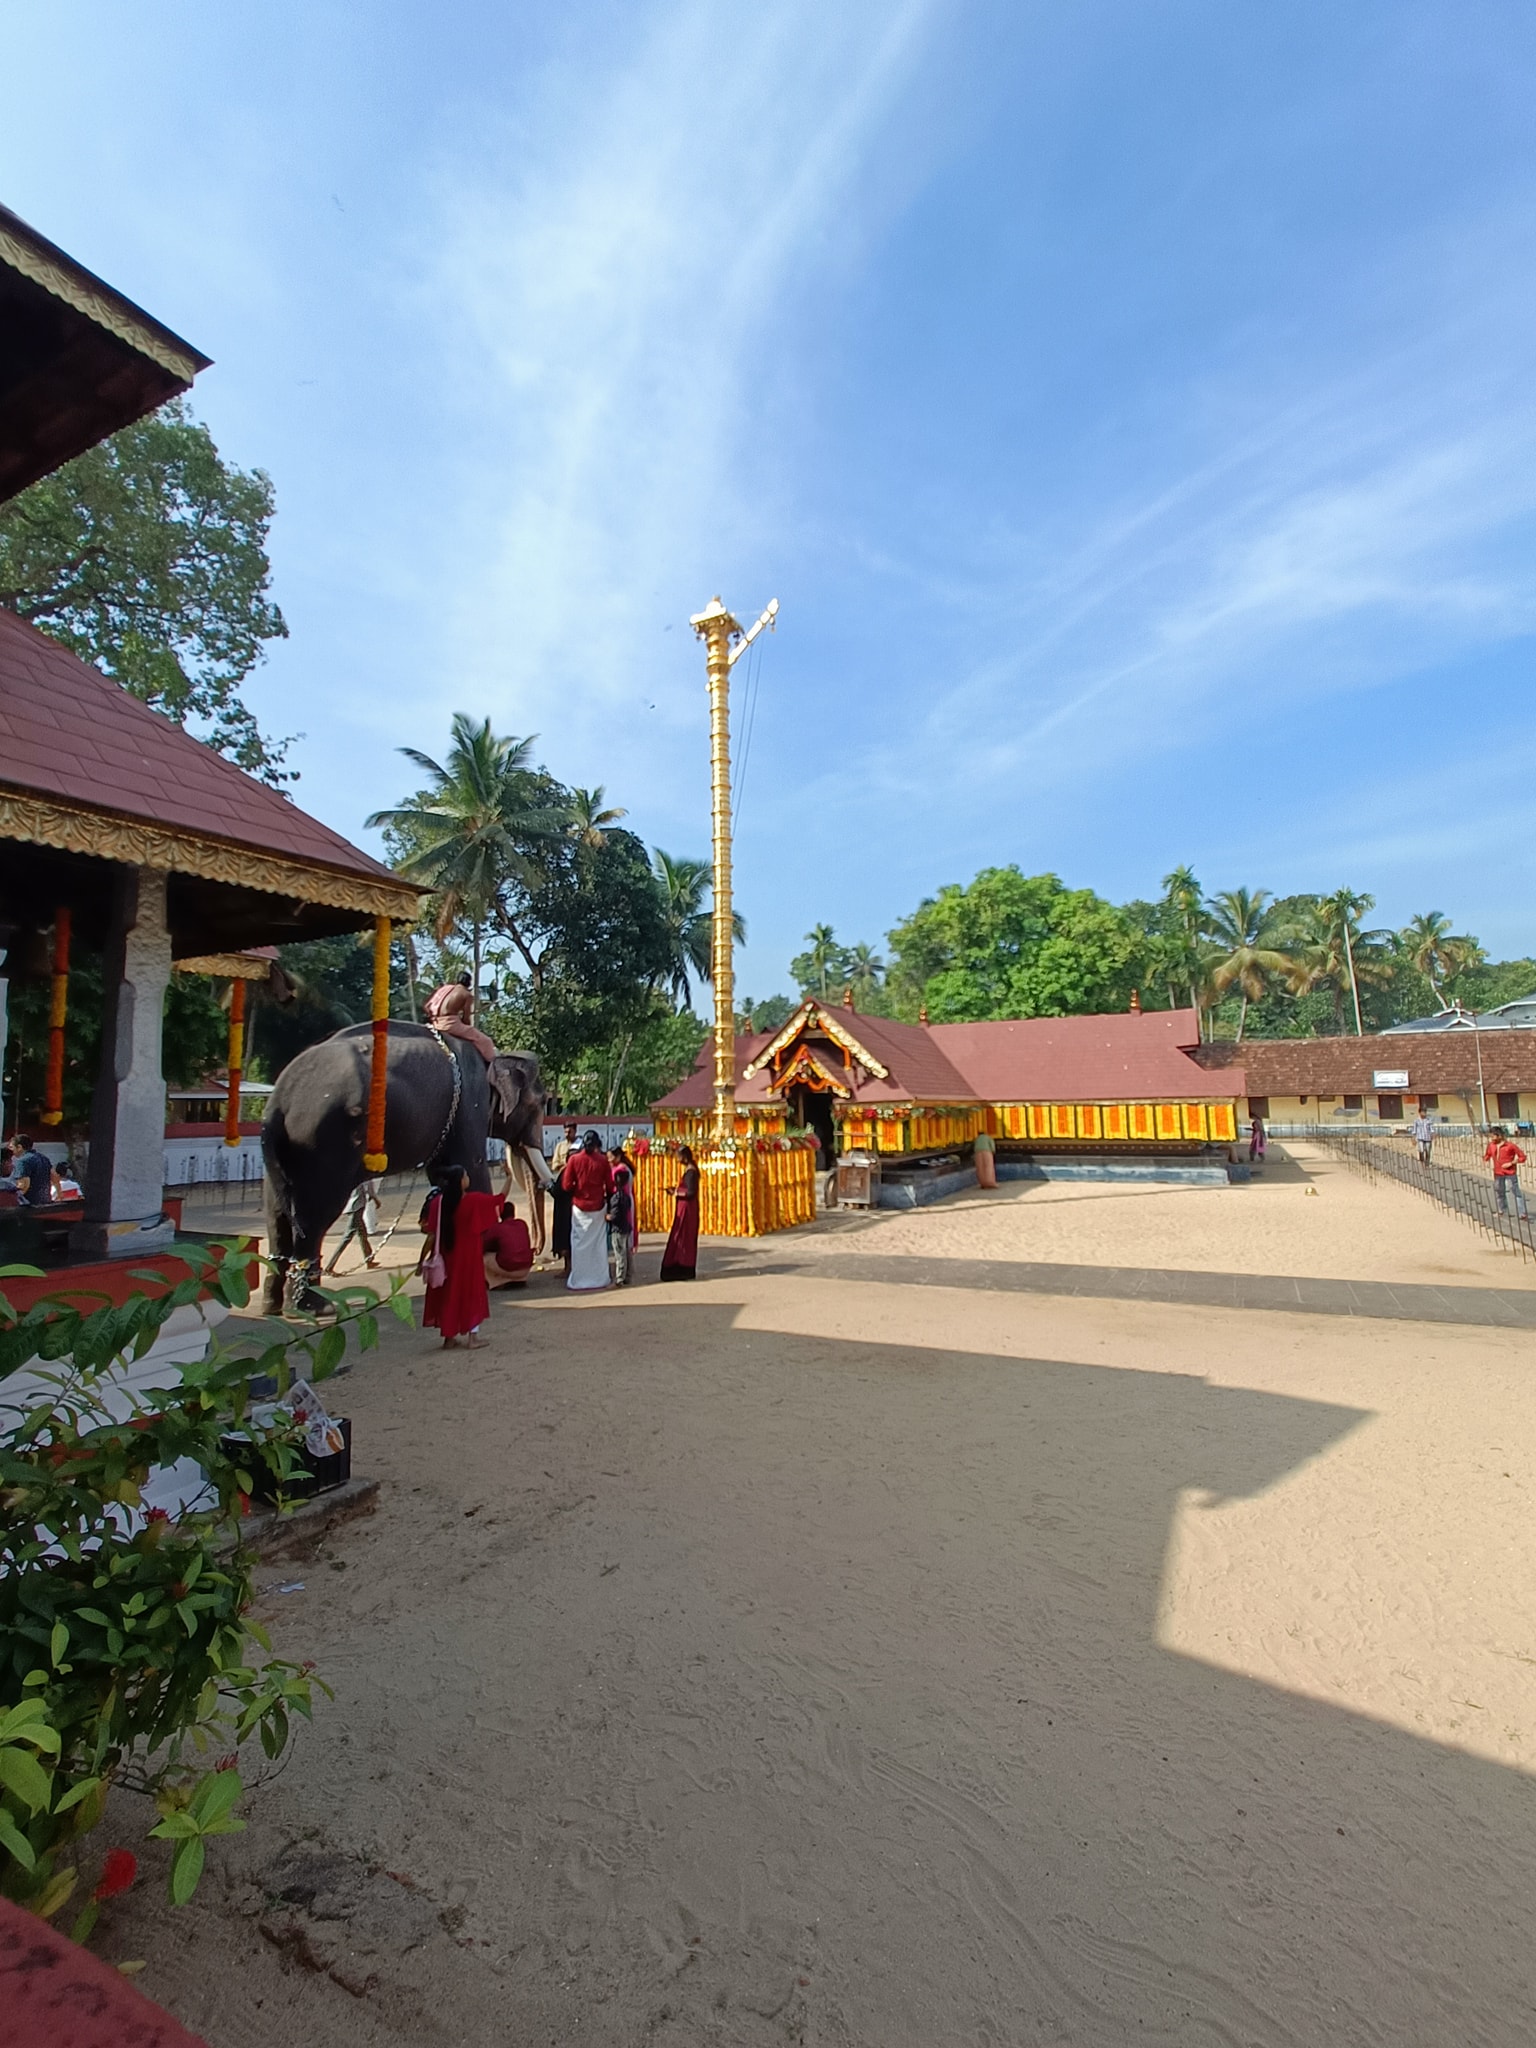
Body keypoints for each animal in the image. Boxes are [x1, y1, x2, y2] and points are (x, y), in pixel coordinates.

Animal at [264, 1019, 548, 1310]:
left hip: (292, 1149)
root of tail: (278, 1102)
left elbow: (445, 1176)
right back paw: (314, 1306)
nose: (537, 1252)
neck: (497, 1057)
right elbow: (472, 1171)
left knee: (276, 1215)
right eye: (543, 1101)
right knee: (314, 1215)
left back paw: (274, 1305)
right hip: (324, 1141)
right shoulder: (470, 1104)